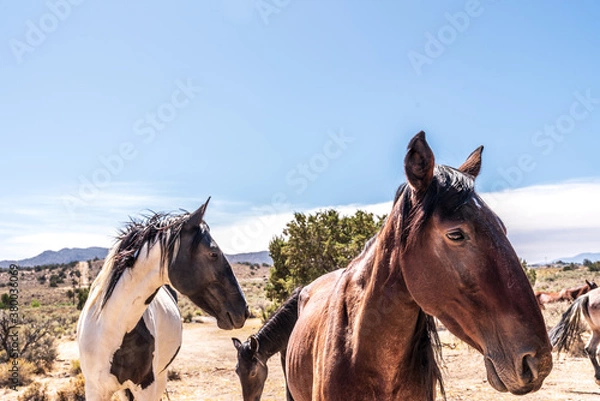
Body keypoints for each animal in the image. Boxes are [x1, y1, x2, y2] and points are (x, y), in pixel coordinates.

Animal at [77, 198, 248, 398]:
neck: (109, 329)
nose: (244, 311)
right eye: (213, 253)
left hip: (161, 377)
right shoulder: (95, 389)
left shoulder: (147, 386)